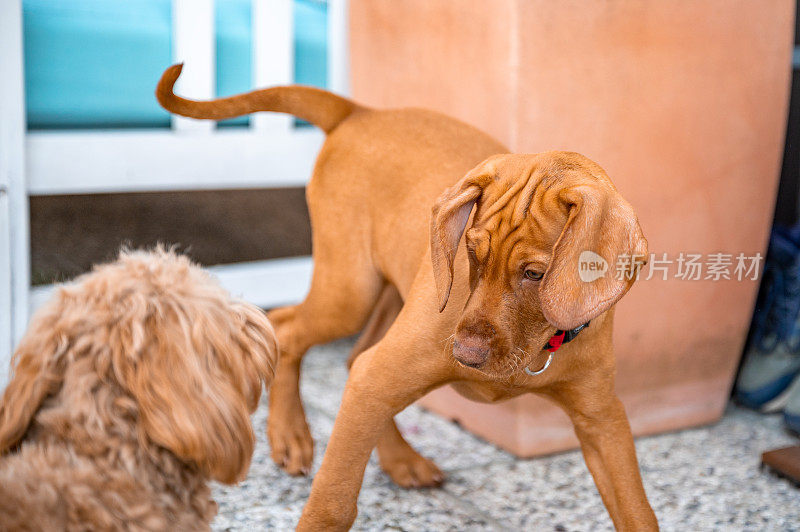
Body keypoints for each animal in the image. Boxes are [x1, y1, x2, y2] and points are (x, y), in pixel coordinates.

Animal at [156, 66, 656, 532]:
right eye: (472, 254)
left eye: (535, 274)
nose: (465, 355)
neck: (542, 345)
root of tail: (361, 112)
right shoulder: (383, 372)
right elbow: (333, 499)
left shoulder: (602, 418)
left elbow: (637, 510)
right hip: (352, 291)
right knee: (290, 329)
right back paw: (290, 433)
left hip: (391, 296)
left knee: (353, 358)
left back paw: (399, 459)